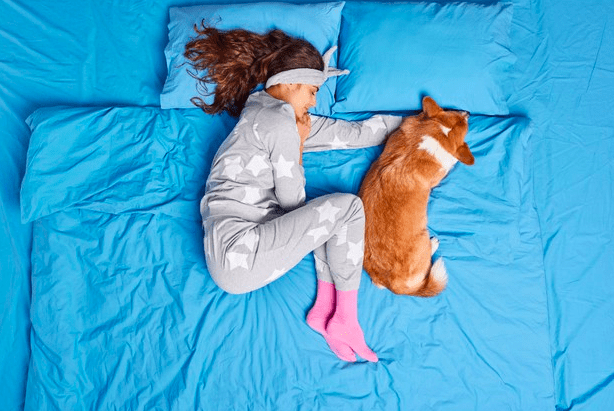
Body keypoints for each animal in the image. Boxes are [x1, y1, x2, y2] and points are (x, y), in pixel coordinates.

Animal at [359, 96, 474, 296]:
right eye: (466, 125)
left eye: (453, 111)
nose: (468, 112)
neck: (434, 136)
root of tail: (392, 285)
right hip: (423, 238)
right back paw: (433, 243)